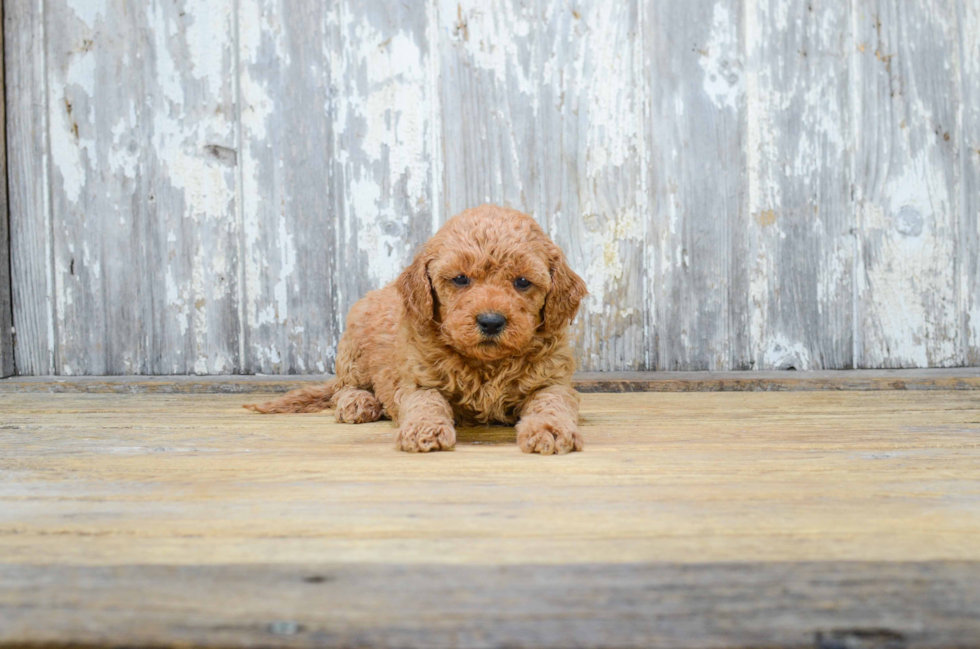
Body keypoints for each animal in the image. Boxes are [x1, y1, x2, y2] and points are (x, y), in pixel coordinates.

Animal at [245, 205, 584, 454]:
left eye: (523, 282)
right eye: (460, 279)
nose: (490, 321)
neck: (486, 364)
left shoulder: (553, 380)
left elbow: (552, 402)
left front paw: (551, 430)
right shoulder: (418, 380)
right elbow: (426, 402)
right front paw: (425, 429)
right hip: (353, 348)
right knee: (343, 388)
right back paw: (359, 403)